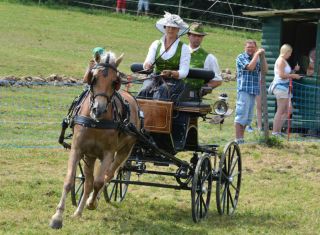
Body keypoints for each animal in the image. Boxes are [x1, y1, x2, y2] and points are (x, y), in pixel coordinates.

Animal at [49, 51, 141, 229]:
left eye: (114, 82)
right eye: (94, 78)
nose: (98, 109)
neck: (96, 122)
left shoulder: (108, 153)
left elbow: (99, 181)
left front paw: (92, 203)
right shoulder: (78, 149)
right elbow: (70, 181)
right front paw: (57, 217)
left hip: (124, 151)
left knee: (109, 176)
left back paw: (94, 199)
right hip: (90, 156)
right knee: (88, 182)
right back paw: (79, 211)